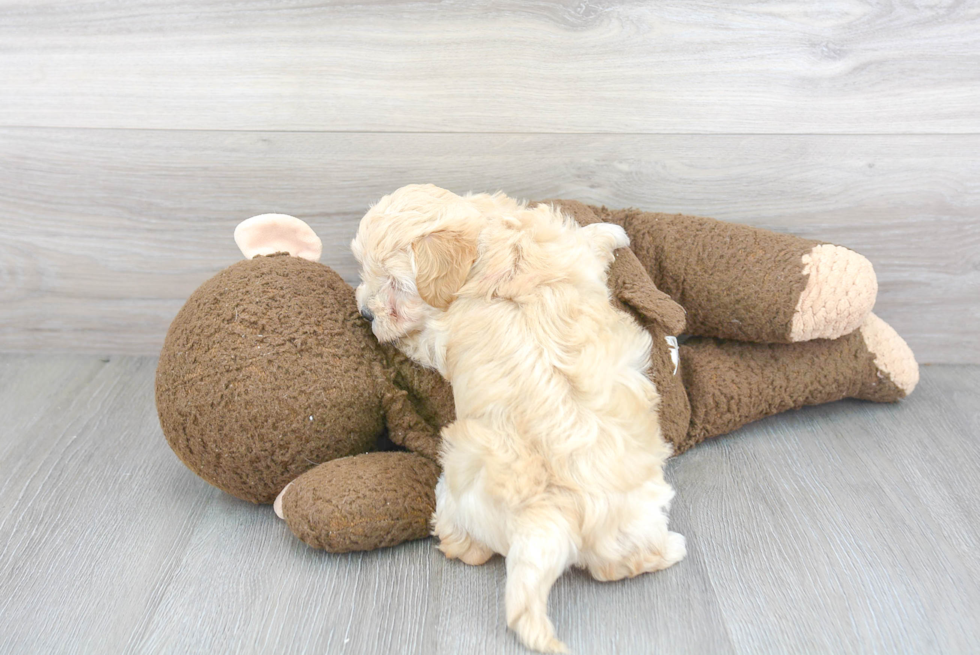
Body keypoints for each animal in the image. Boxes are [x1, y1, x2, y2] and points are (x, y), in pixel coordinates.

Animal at [350, 183, 680, 652]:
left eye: (396, 286)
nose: (365, 312)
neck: (491, 248)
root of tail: (548, 514)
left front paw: (613, 230)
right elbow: (588, 242)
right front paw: (615, 231)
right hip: (632, 515)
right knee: (616, 565)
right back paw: (672, 549)